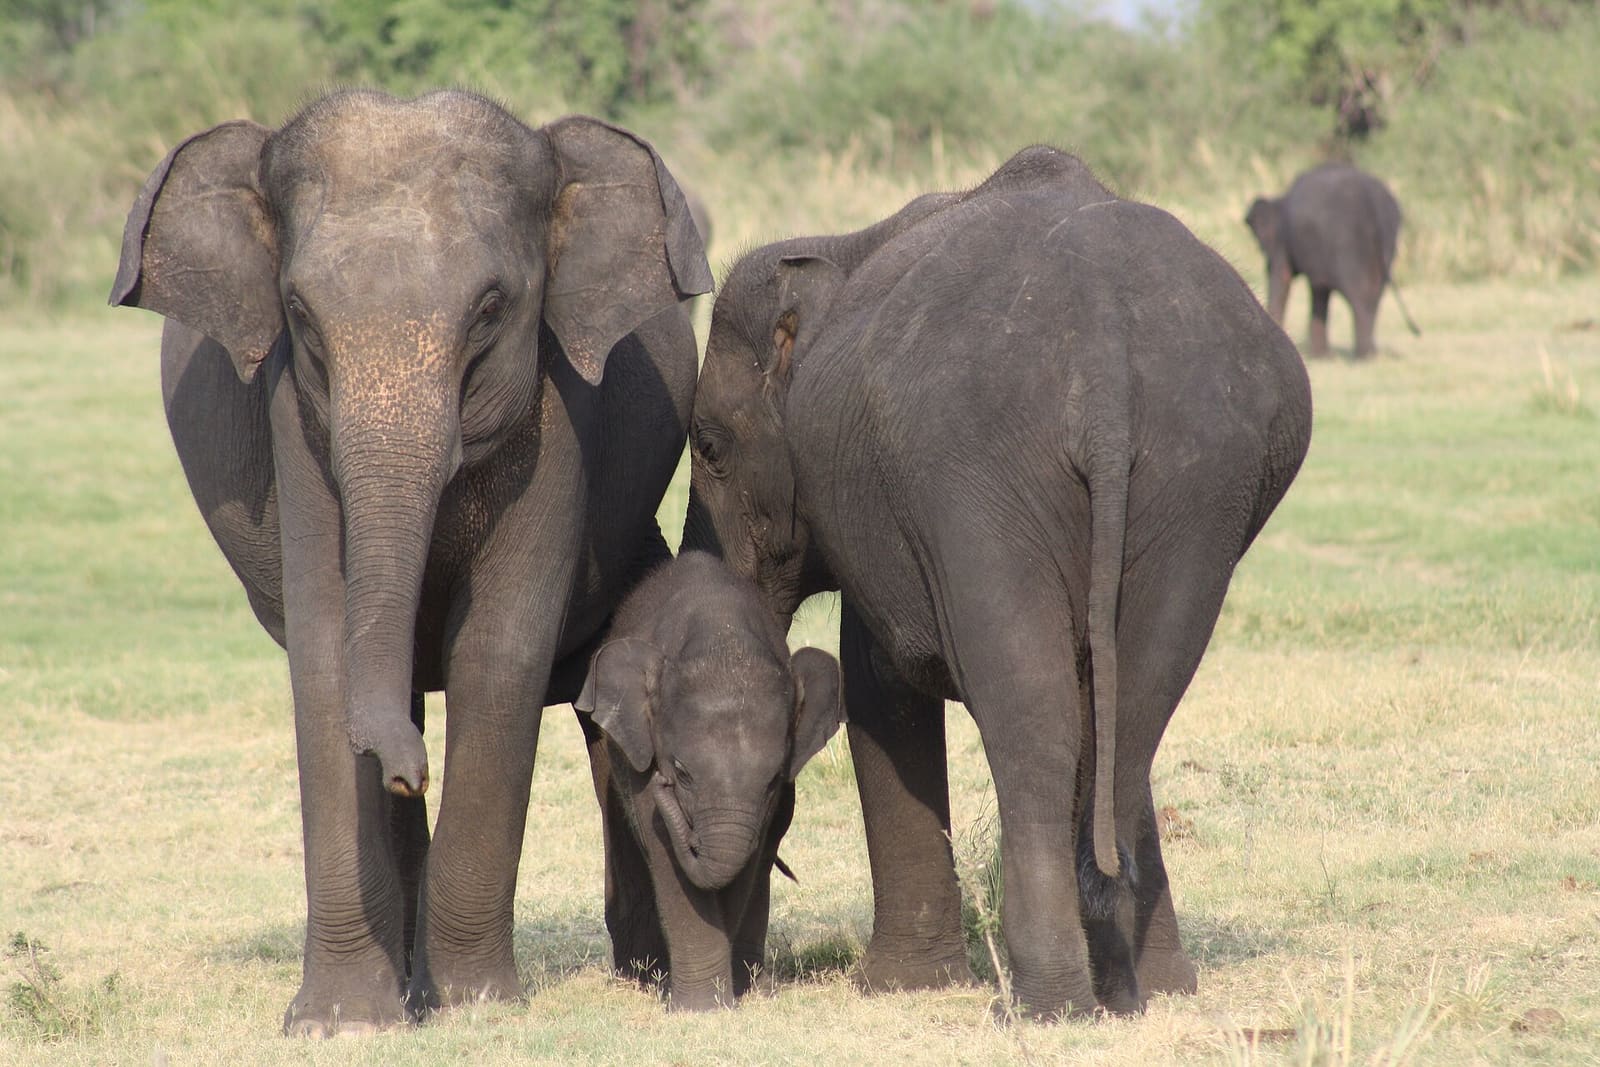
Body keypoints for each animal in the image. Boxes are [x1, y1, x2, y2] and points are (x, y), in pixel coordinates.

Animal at [109, 88, 712, 1035]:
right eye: (300, 314)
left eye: (492, 308)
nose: (407, 773)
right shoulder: (294, 422)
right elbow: (325, 654)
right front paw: (342, 1022)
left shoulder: (560, 416)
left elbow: (500, 652)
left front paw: (475, 1008)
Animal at [576, 550, 844, 1011]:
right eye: (680, 773)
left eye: (774, 780)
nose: (664, 785)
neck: (722, 636)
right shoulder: (643, 755)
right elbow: (665, 852)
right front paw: (700, 1009)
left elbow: (746, 860)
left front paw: (715, 1002)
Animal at [681, 146, 1313, 1019]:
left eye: (707, 446)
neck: (842, 246)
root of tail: (1103, 356)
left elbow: (879, 685)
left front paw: (896, 985)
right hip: (1198, 478)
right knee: (1127, 711)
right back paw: (1132, 981)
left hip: (978, 474)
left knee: (1036, 718)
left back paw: (1049, 1001)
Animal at [1245, 162, 1420, 358]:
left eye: (1258, 233)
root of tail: (1371, 200)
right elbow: (1319, 289)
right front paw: (1322, 355)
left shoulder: (1283, 241)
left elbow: (1282, 276)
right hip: (1388, 245)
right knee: (1375, 294)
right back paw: (1370, 353)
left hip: (1347, 243)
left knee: (1358, 295)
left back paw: (1362, 356)